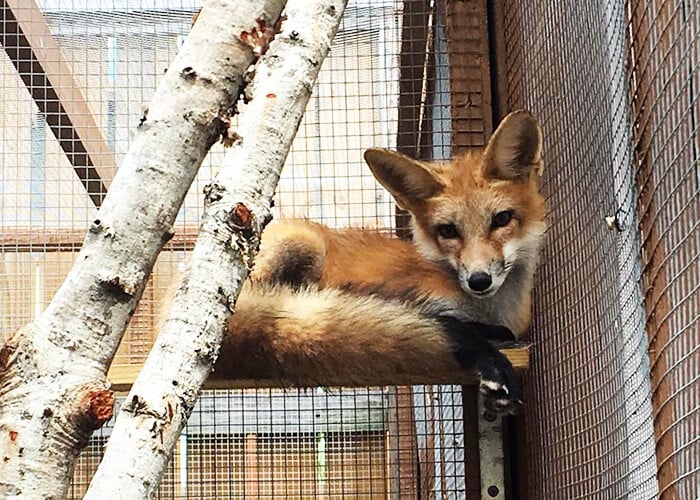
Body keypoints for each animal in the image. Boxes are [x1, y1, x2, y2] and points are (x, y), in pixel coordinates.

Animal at [216, 110, 544, 414]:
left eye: (501, 219)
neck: (489, 311)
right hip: (302, 246)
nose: (479, 280)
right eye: (448, 231)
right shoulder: (415, 299)